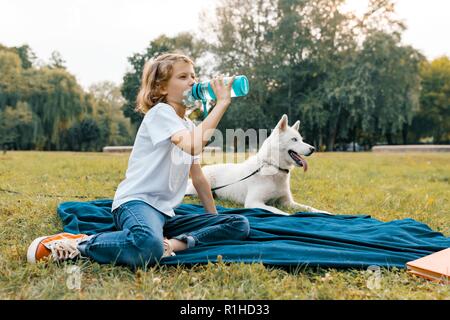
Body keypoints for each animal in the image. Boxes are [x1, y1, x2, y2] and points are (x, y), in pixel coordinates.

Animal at [185, 114, 332, 216]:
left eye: (301, 139)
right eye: (294, 139)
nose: (313, 149)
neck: (273, 167)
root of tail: (205, 168)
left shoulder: (287, 202)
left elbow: (309, 208)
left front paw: (325, 212)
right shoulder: (254, 202)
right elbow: (278, 211)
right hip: (196, 191)